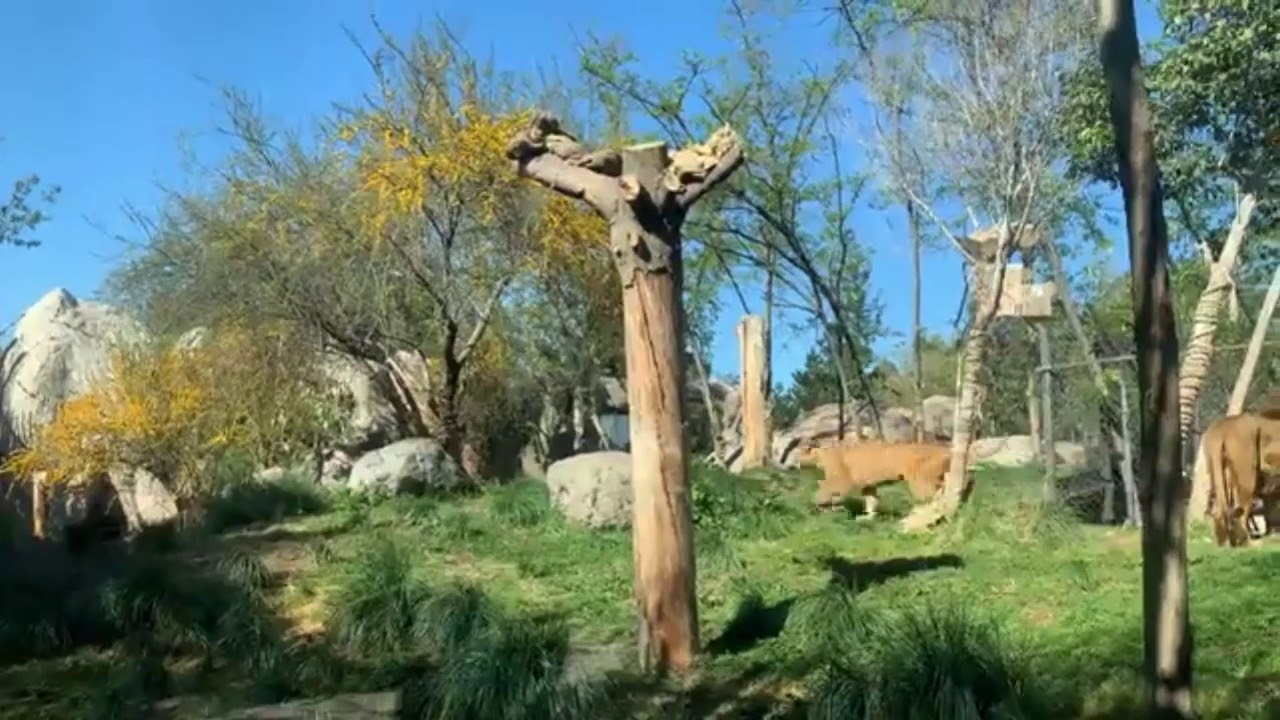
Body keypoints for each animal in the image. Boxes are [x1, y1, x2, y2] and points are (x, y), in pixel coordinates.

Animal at [796, 438, 967, 519]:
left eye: (800, 452)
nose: (795, 463)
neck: (821, 453)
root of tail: (946, 450)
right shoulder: (868, 485)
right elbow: (871, 500)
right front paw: (868, 517)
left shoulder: (842, 480)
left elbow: (822, 491)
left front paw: (823, 506)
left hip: (920, 482)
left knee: (934, 497)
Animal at [1204, 412, 1280, 547]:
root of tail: (1220, 428)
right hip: (1247, 472)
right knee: (1242, 512)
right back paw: (1250, 543)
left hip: (1217, 467)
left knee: (1220, 509)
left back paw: (1225, 543)